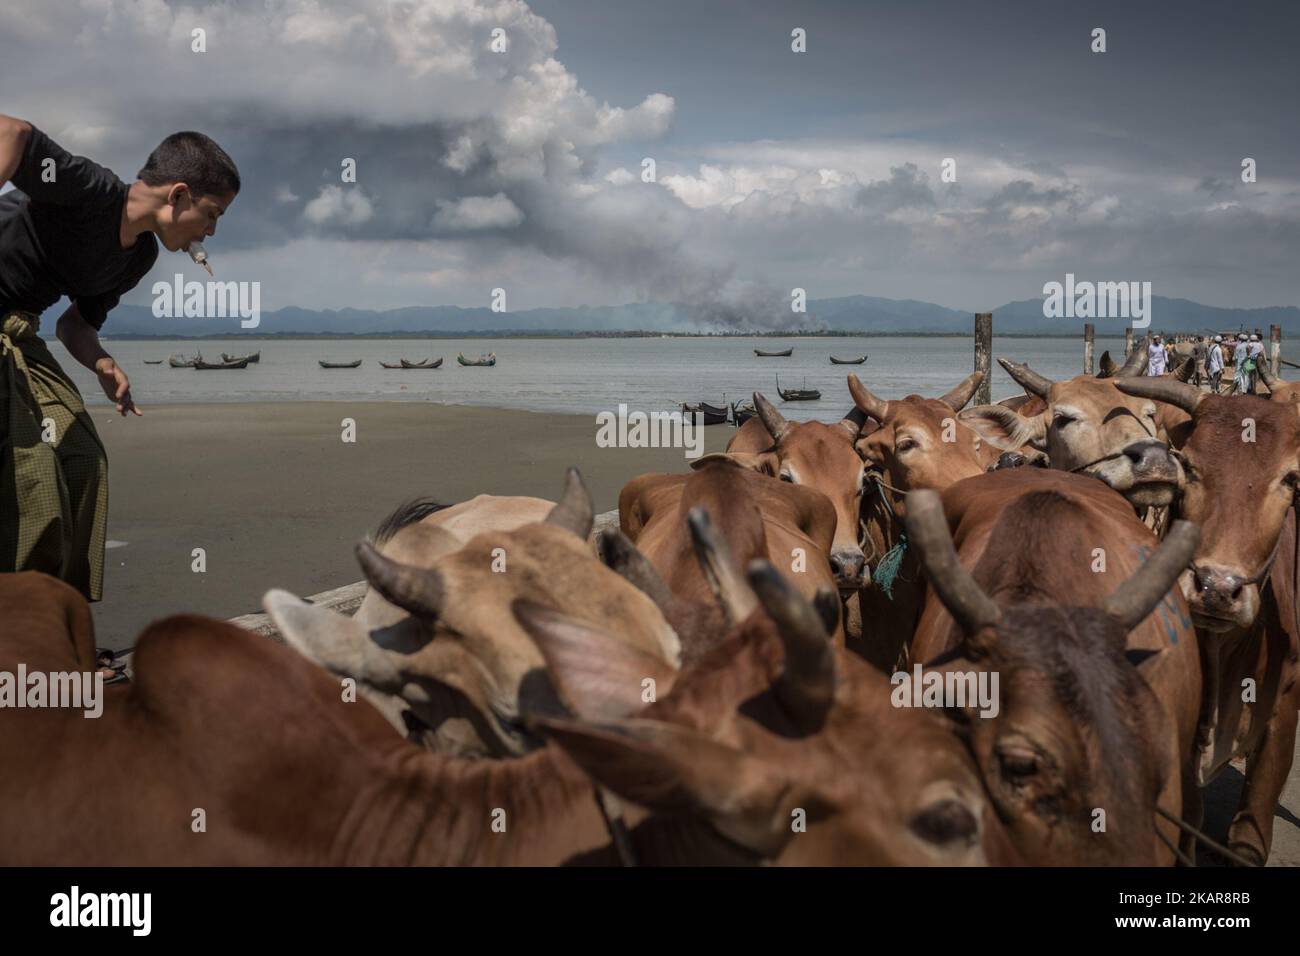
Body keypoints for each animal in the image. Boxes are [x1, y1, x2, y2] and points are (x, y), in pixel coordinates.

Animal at [1107, 374, 1300, 868]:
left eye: (1291, 478)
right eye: (1188, 467)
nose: (1215, 587)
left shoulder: (1283, 713)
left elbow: (1249, 836)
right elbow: (1188, 819)